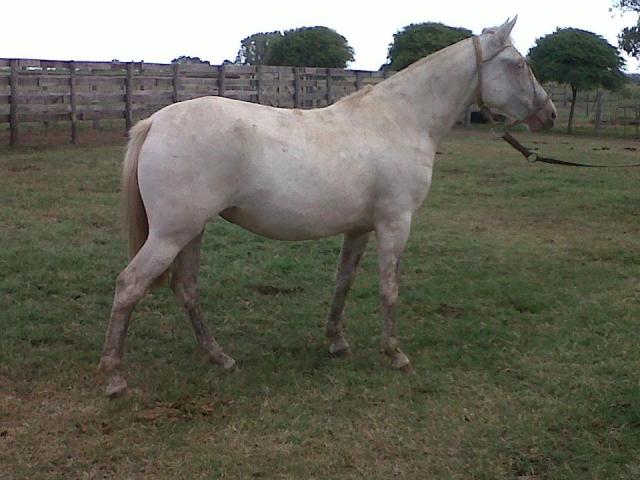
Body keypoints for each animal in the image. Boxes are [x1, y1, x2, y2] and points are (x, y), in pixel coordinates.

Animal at [98, 17, 557, 397]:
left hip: (191, 231)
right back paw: (115, 377)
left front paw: (336, 342)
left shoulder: (360, 228)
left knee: (187, 288)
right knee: (129, 286)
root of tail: (156, 122)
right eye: (518, 64)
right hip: (171, 234)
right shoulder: (395, 224)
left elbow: (344, 282)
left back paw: (219, 357)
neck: (399, 120)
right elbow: (389, 288)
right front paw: (395, 354)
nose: (549, 114)